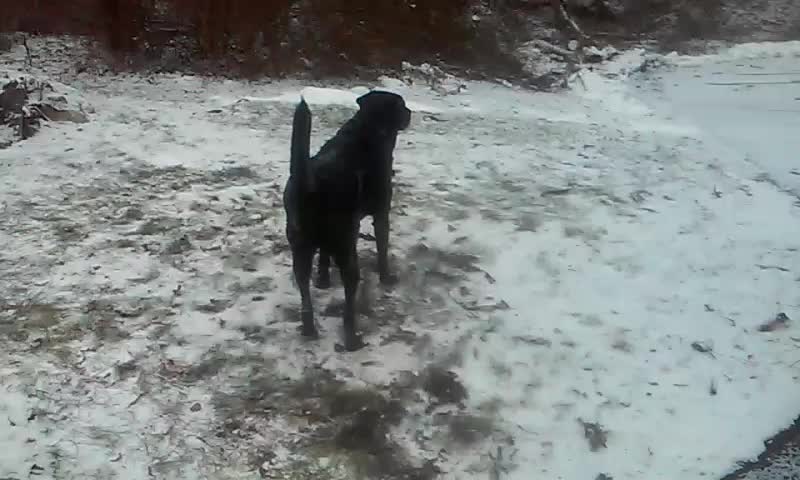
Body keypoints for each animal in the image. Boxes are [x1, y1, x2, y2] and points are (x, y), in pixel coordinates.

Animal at [282, 91, 410, 352]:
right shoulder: (381, 213)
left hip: (300, 246)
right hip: (347, 252)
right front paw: (386, 277)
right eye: (402, 105)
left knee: (304, 290)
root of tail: (309, 184)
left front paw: (322, 280)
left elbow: (323, 257)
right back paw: (352, 337)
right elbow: (382, 249)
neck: (366, 129)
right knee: (349, 300)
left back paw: (309, 328)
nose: (411, 113)